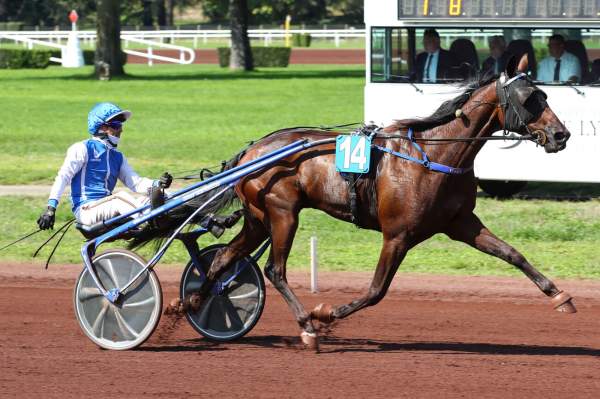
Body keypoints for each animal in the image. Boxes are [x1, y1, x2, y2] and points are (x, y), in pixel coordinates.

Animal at [159, 56, 576, 350]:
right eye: (530, 99)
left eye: (545, 95)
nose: (561, 134)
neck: (433, 154)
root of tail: (250, 151)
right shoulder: (398, 235)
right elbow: (376, 291)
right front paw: (325, 314)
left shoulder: (460, 223)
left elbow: (512, 254)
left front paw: (560, 296)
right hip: (282, 213)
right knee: (274, 270)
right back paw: (306, 327)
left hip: (259, 218)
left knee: (225, 259)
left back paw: (191, 303)